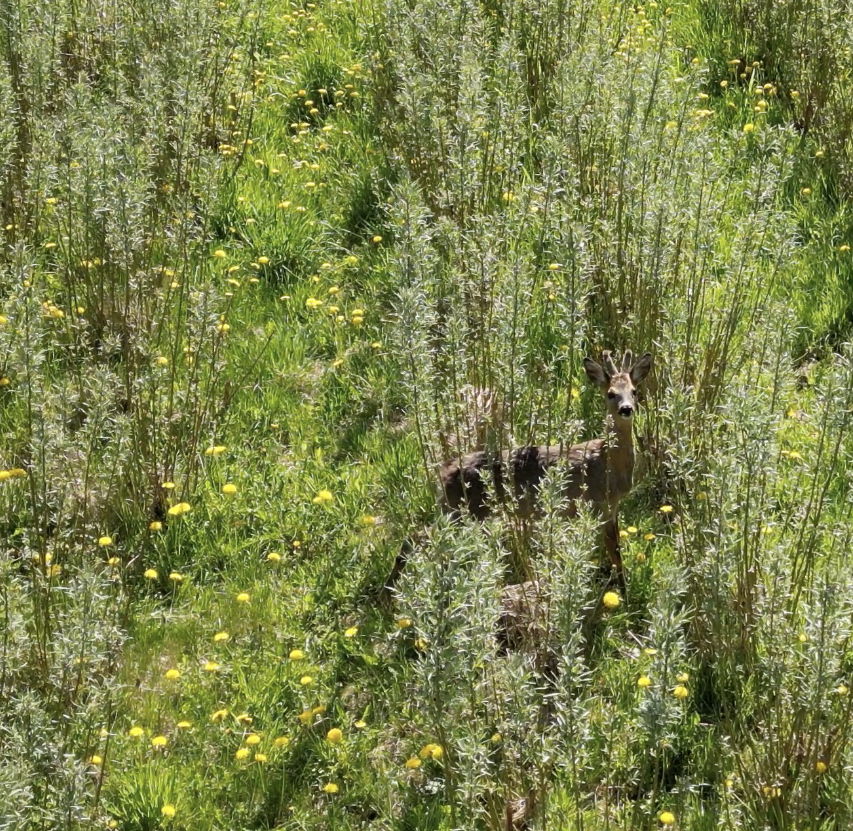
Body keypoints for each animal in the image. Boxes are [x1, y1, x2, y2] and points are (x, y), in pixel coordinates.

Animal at [440, 354, 652, 580]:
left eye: (634, 391)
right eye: (611, 393)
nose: (626, 409)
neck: (609, 463)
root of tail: (443, 473)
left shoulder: (611, 508)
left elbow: (617, 553)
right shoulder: (595, 504)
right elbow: (613, 553)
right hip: (465, 512)